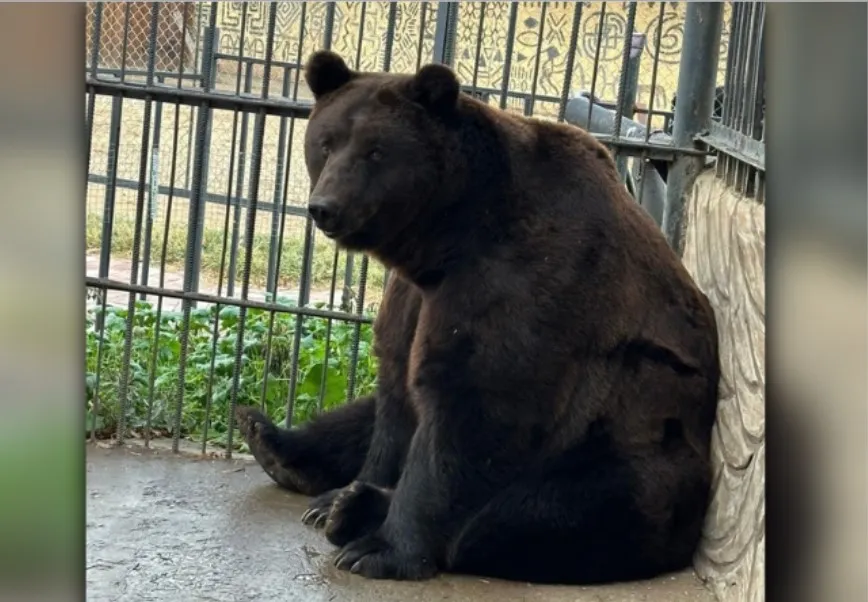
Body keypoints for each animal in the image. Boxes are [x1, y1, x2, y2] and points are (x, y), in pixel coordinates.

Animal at [234, 49, 724, 584]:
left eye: (376, 152)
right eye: (325, 143)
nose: (325, 207)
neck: (444, 238)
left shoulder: (522, 279)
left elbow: (473, 402)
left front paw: (379, 549)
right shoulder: (414, 296)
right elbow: (395, 393)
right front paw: (344, 492)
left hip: (634, 442)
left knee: (532, 514)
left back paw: (359, 511)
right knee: (358, 414)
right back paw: (276, 446)